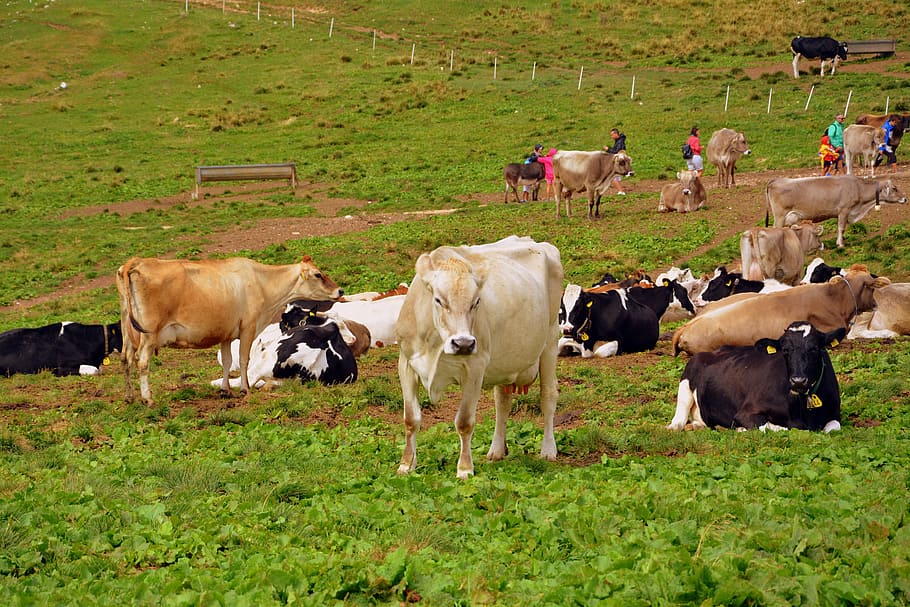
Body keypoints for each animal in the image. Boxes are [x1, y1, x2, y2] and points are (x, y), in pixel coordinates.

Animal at [117, 255, 342, 405]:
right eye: (318, 274)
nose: (340, 290)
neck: (262, 282)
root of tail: (136, 261)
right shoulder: (248, 327)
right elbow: (243, 359)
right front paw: (245, 389)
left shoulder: (226, 333)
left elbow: (226, 361)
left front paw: (225, 390)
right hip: (149, 333)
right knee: (142, 361)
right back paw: (147, 398)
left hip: (127, 329)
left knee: (126, 358)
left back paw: (129, 397)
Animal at [396, 236, 563, 478]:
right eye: (438, 300)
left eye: (476, 302)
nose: (463, 343)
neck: (435, 342)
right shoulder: (406, 363)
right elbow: (411, 419)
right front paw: (406, 464)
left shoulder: (475, 367)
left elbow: (464, 422)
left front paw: (465, 468)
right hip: (505, 363)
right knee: (502, 403)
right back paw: (497, 450)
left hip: (550, 340)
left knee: (548, 396)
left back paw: (548, 450)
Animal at [667, 321, 846, 433]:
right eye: (785, 350)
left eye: (814, 349)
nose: (798, 381)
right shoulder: (745, 413)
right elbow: (774, 427)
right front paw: (740, 429)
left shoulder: (835, 414)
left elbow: (832, 428)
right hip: (687, 378)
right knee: (680, 417)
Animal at [765, 176, 907, 247]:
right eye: (894, 188)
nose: (905, 198)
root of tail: (776, 180)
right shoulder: (844, 210)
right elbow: (841, 228)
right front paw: (840, 244)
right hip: (779, 216)